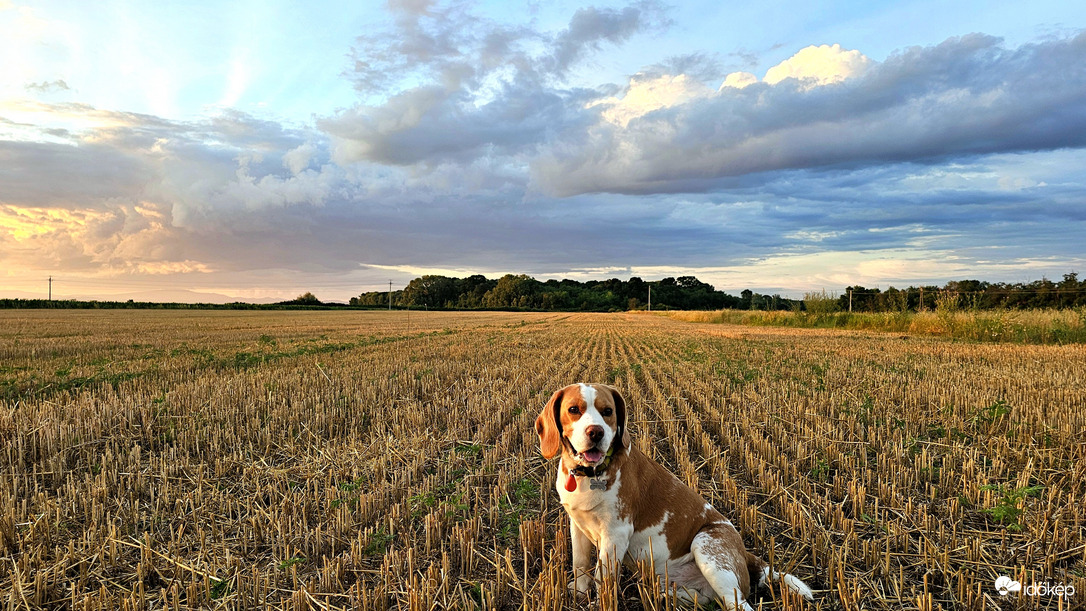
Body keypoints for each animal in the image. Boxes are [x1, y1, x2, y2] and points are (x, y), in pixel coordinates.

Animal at [534, 384, 816, 607]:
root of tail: (744, 553)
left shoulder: (616, 534)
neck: (588, 475)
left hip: (706, 548)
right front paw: (580, 594)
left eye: (608, 412)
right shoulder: (577, 525)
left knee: (739, 605)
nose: (596, 432)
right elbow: (580, 564)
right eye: (574, 410)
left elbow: (604, 579)